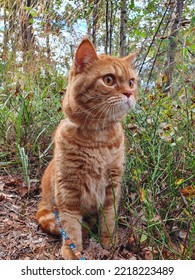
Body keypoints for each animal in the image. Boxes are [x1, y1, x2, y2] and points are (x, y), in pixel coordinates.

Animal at [36, 37, 137, 260]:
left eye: (131, 82)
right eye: (108, 80)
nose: (128, 93)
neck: (97, 141)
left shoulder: (112, 186)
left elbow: (109, 218)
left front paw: (108, 243)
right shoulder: (68, 188)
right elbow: (70, 225)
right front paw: (72, 251)